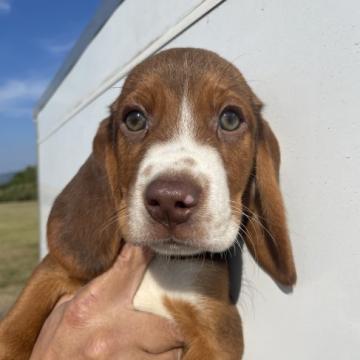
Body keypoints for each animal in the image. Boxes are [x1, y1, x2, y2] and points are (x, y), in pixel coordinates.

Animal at [0, 48, 296, 360]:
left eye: (230, 119)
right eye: (134, 120)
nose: (169, 200)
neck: (162, 261)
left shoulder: (217, 327)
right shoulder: (54, 269)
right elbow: (15, 325)